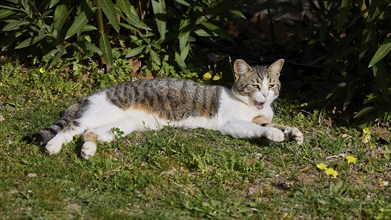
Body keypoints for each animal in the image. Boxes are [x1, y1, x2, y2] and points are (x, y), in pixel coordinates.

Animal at [32, 58, 304, 158]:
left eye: (272, 84)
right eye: (255, 85)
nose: (266, 94)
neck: (253, 108)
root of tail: (95, 93)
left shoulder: (260, 117)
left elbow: (274, 123)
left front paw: (293, 132)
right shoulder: (232, 125)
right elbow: (260, 128)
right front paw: (274, 133)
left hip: (121, 126)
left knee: (89, 133)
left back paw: (88, 149)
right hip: (102, 112)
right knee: (72, 127)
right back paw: (53, 146)